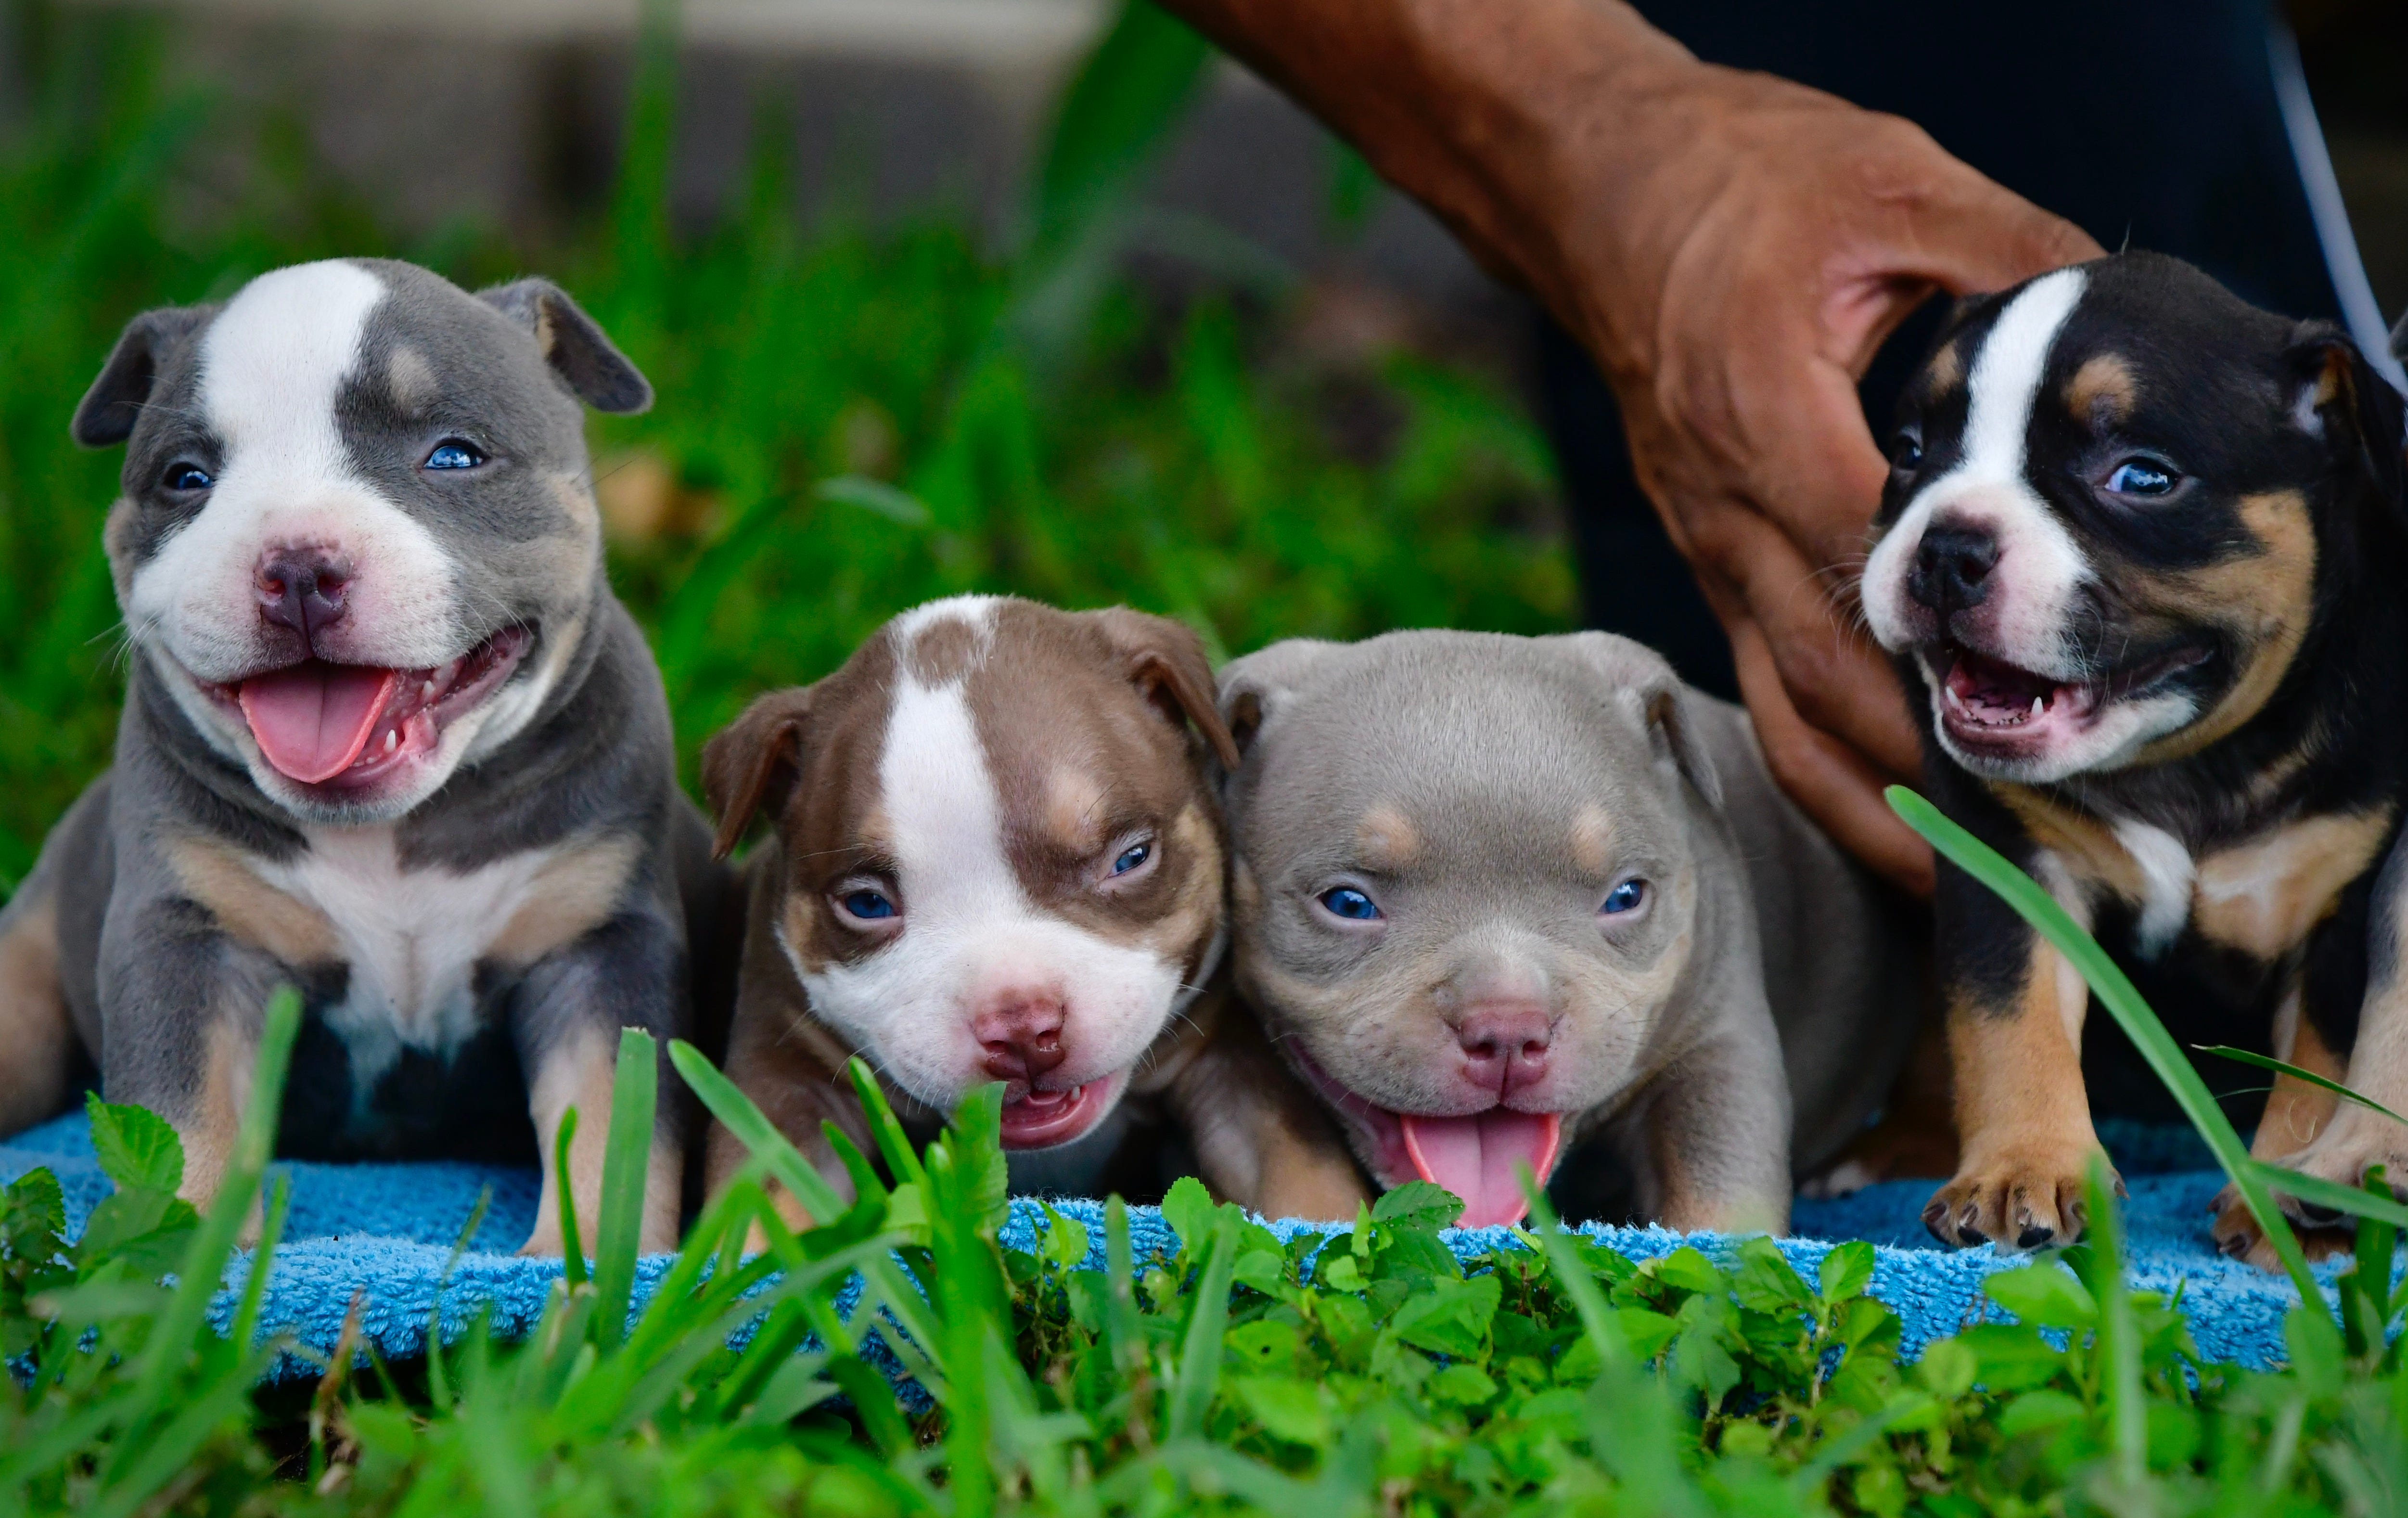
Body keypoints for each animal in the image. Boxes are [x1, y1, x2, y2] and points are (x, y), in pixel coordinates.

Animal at [0, 261, 717, 1253]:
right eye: (186, 478)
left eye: (453, 456)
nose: (298, 566)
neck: (391, 833)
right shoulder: (190, 940)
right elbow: (184, 1126)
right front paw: (178, 1267)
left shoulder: (598, 946)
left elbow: (614, 1122)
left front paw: (582, 1269)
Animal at [703, 595, 1368, 1224]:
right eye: (867, 903)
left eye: (1131, 859)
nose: (1023, 1029)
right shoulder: (787, 1073)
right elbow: (762, 1203)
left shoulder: (1231, 1056)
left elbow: (1301, 1170)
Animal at [1859, 255, 2408, 1262]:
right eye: (1910, 452)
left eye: (2142, 477)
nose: (1946, 546)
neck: (2184, 759)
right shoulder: (2005, 862)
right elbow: (2007, 1017)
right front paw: (2021, 1166)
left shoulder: (2339, 900)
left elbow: (2312, 1061)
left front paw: (2282, 1199)